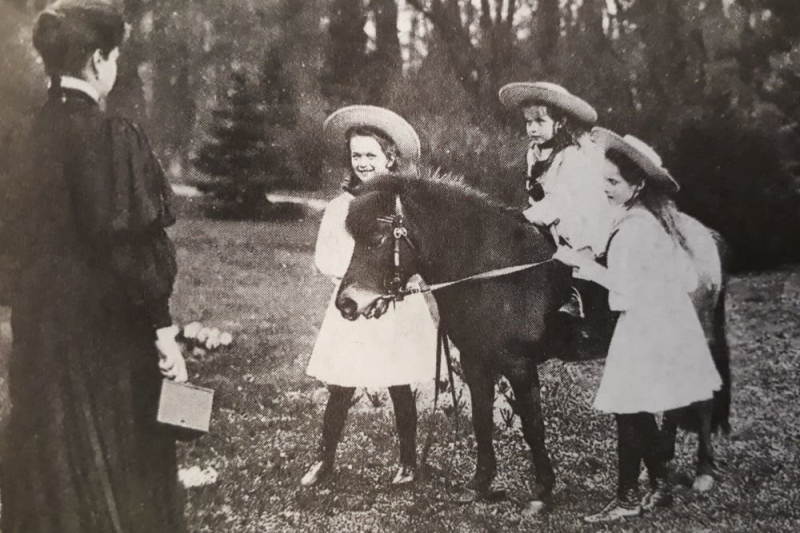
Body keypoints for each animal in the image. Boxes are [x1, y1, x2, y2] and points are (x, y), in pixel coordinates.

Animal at [338, 168, 732, 512]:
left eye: (376, 238)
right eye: (353, 239)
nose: (346, 303)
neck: (493, 270)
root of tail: (702, 238)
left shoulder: (519, 365)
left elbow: (533, 426)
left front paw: (541, 492)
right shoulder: (475, 362)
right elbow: (481, 420)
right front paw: (480, 484)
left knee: (700, 400)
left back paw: (701, 472)